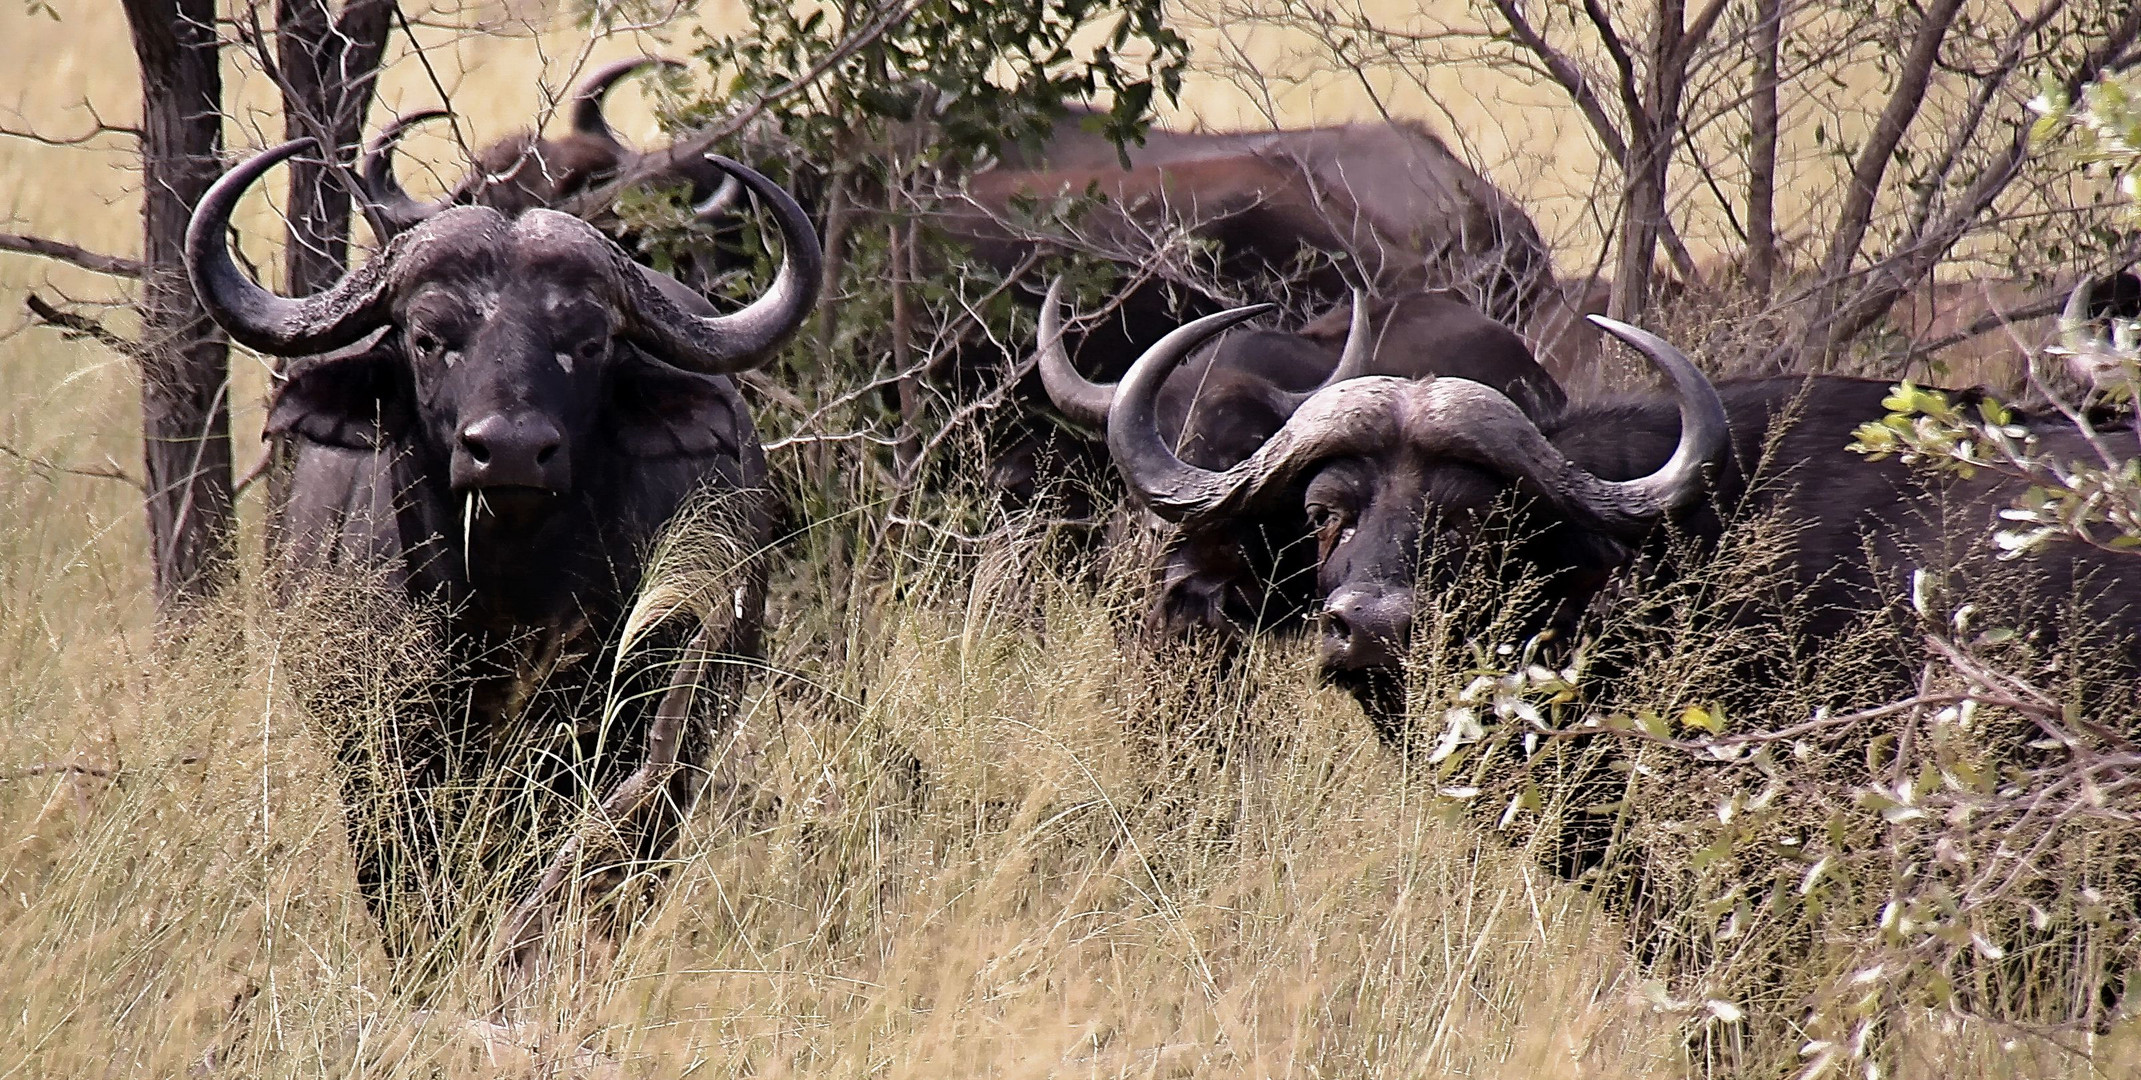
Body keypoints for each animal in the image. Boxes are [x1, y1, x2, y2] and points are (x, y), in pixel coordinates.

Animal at [188, 135, 817, 985]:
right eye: (429, 338)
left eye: (587, 342)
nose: (510, 450)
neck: (503, 600)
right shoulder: (379, 759)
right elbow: (411, 900)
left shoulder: (621, 744)